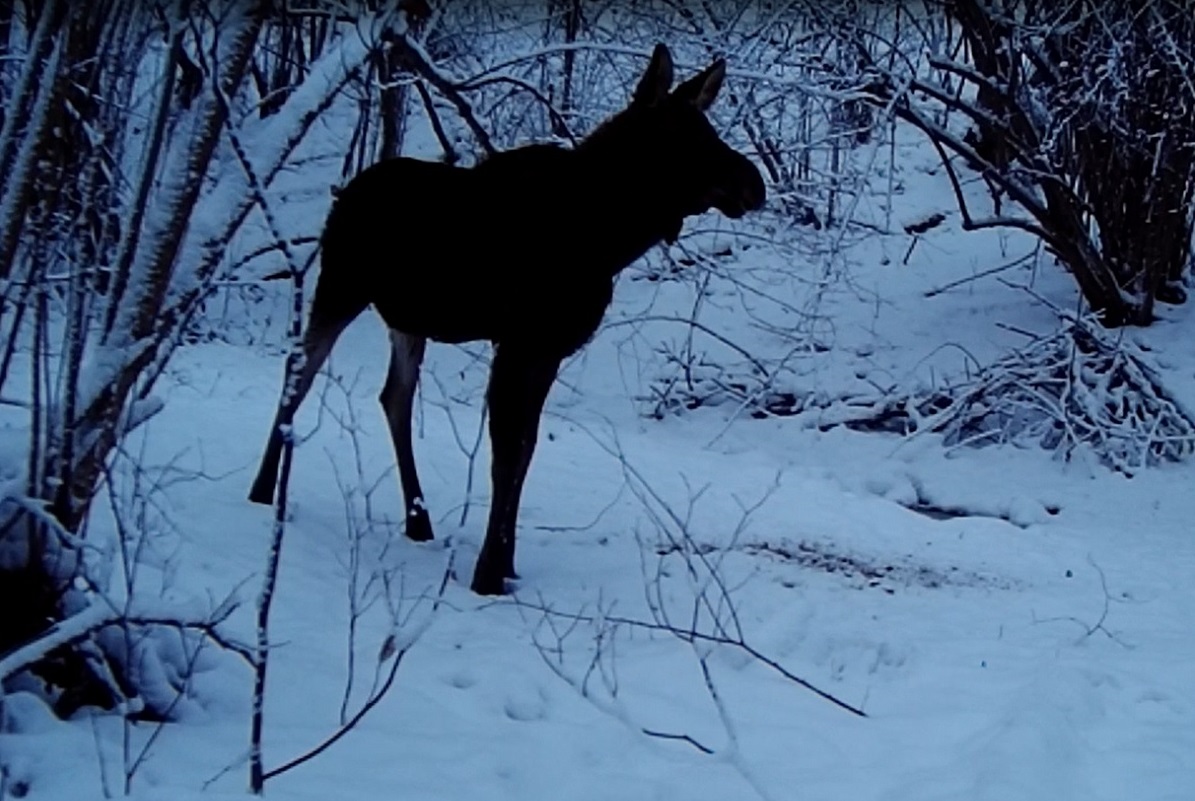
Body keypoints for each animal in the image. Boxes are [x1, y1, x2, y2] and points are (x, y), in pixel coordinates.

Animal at [249, 43, 764, 595]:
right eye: (681, 136)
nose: (754, 184)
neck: (607, 237)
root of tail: (344, 191)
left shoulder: (549, 349)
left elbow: (525, 450)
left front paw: (506, 562)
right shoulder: (518, 343)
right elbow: (506, 454)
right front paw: (488, 572)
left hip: (408, 318)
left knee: (394, 397)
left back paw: (418, 519)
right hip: (341, 286)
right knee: (300, 371)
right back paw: (263, 490)